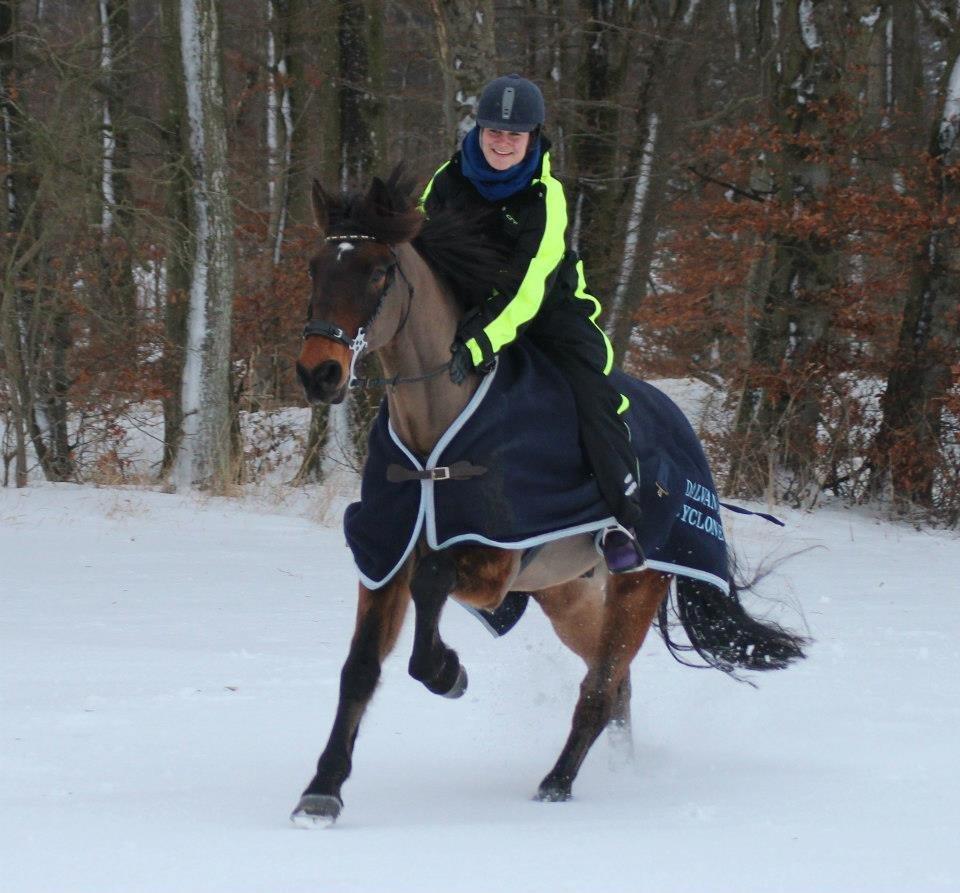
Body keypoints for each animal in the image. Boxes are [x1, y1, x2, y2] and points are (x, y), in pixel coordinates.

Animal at [288, 167, 808, 824]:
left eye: (379, 271)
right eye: (314, 266)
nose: (319, 373)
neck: (436, 436)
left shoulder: (491, 565)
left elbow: (433, 583)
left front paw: (446, 671)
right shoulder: (384, 556)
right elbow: (358, 669)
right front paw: (323, 788)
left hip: (638, 584)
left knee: (600, 687)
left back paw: (557, 783)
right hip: (567, 595)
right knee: (616, 684)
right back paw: (617, 770)